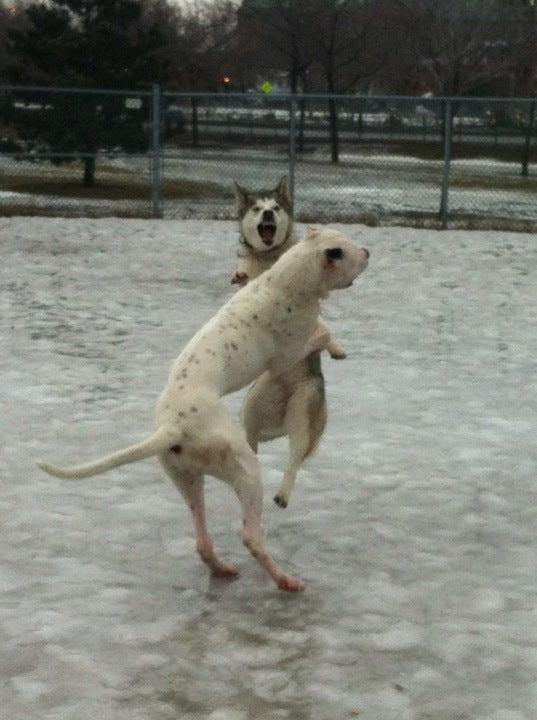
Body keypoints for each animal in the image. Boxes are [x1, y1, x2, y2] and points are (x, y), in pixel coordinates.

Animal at [37, 226, 368, 592]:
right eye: (350, 251)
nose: (368, 251)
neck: (287, 279)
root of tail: (172, 427)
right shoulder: (287, 355)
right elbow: (322, 331)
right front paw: (335, 345)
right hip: (246, 470)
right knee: (251, 536)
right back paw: (285, 580)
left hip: (187, 478)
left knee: (202, 540)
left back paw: (222, 569)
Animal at [232, 177, 346, 510]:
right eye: (257, 208)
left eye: (276, 207)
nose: (268, 214)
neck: (270, 260)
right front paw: (241, 272)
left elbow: (325, 327)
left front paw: (336, 347)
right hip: (252, 408)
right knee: (252, 444)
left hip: (303, 407)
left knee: (295, 457)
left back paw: (282, 494)